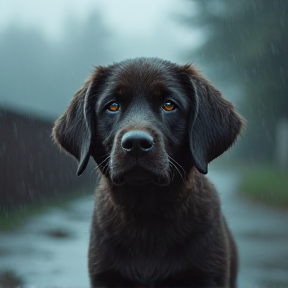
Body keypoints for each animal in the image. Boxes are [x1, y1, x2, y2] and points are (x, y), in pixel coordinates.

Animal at [53, 57, 244, 286]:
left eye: (169, 105)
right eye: (113, 106)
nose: (136, 143)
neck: (147, 213)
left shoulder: (208, 275)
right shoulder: (105, 276)